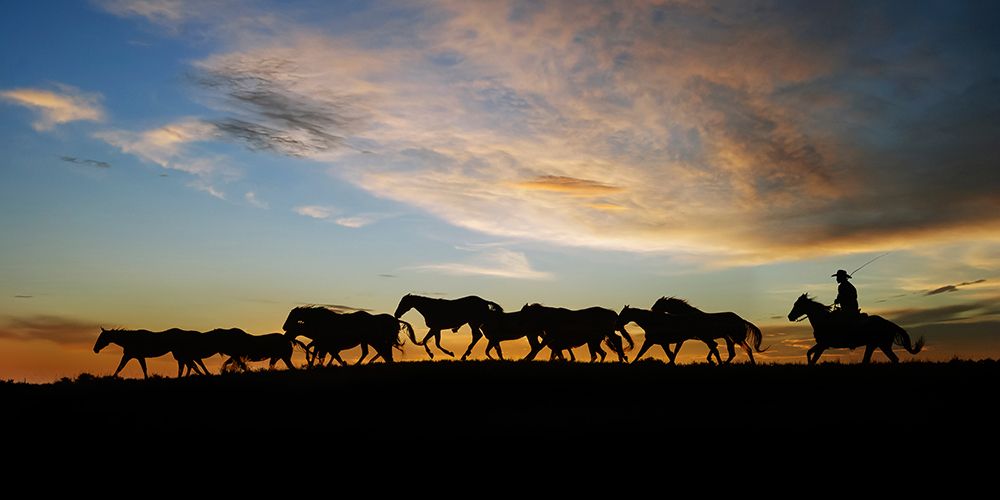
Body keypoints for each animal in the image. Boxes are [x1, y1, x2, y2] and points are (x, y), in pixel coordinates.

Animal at [283, 306, 417, 365]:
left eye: (292, 316)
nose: (284, 328)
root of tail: (395, 321)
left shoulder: (324, 344)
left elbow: (322, 354)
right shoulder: (324, 345)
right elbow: (324, 354)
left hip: (371, 340)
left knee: (380, 352)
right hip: (369, 341)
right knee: (379, 352)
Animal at [787, 293, 924, 364]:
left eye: (797, 304)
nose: (790, 316)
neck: (823, 320)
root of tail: (889, 323)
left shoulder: (823, 345)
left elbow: (813, 359)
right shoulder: (821, 345)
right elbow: (809, 353)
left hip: (881, 345)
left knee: (892, 359)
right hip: (875, 345)